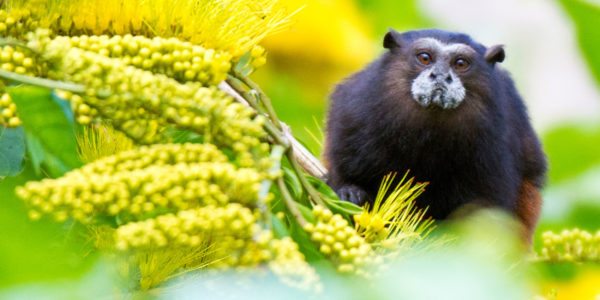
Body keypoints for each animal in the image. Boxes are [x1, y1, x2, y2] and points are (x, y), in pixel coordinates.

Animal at [326, 29, 548, 243]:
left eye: (460, 63)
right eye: (425, 58)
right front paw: (350, 192)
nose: (440, 75)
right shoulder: (355, 112)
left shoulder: (495, 144)